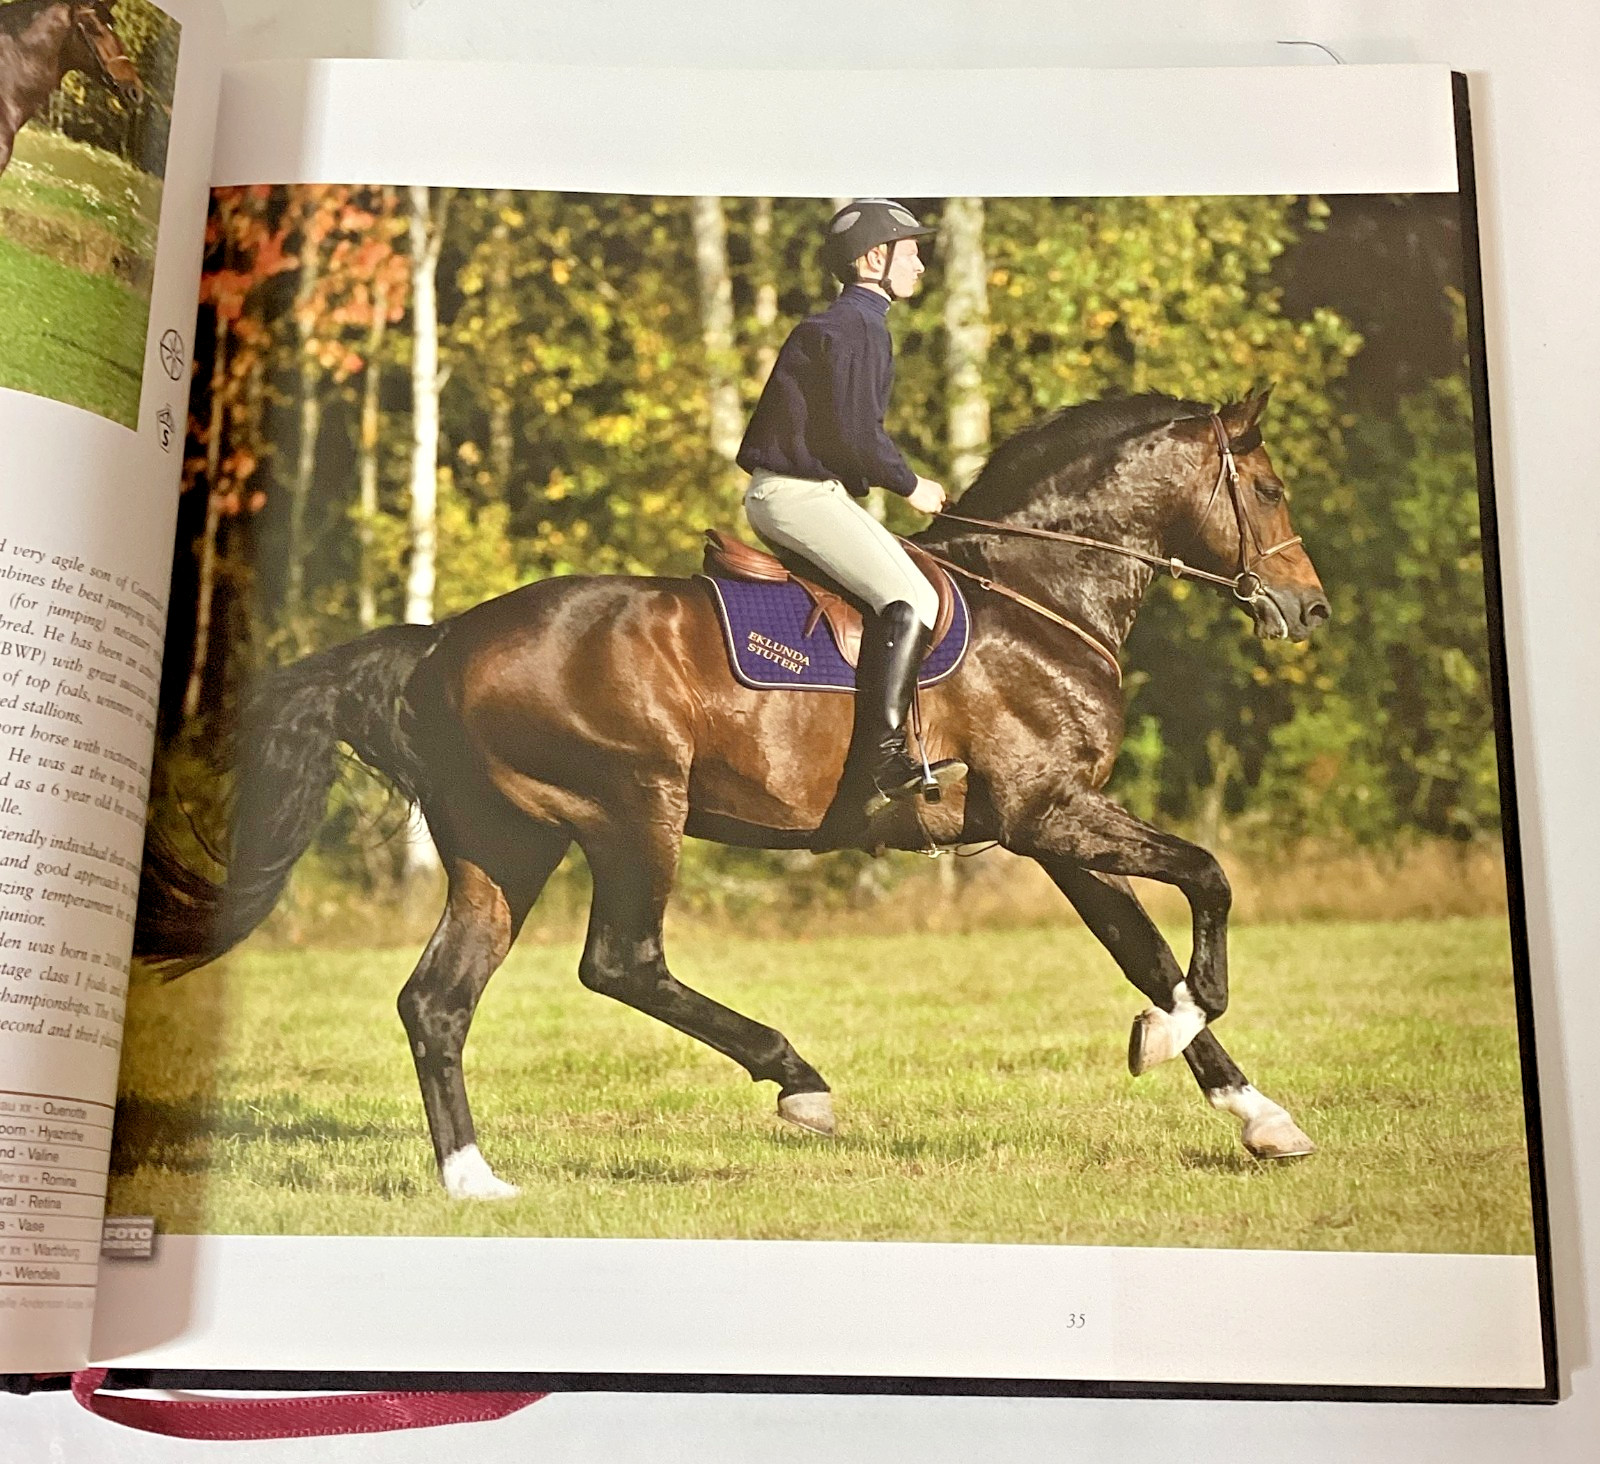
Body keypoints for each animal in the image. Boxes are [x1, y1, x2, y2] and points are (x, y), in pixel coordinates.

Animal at [136, 389, 1330, 1200]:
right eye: (1269, 488)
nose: (1307, 610)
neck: (1037, 595)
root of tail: (439, 645)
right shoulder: (1049, 815)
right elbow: (1207, 884)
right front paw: (1181, 1031)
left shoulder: (1054, 830)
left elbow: (1147, 950)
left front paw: (1252, 1111)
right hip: (633, 812)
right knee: (621, 963)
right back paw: (797, 1078)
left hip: (503, 845)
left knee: (437, 1000)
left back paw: (473, 1180)